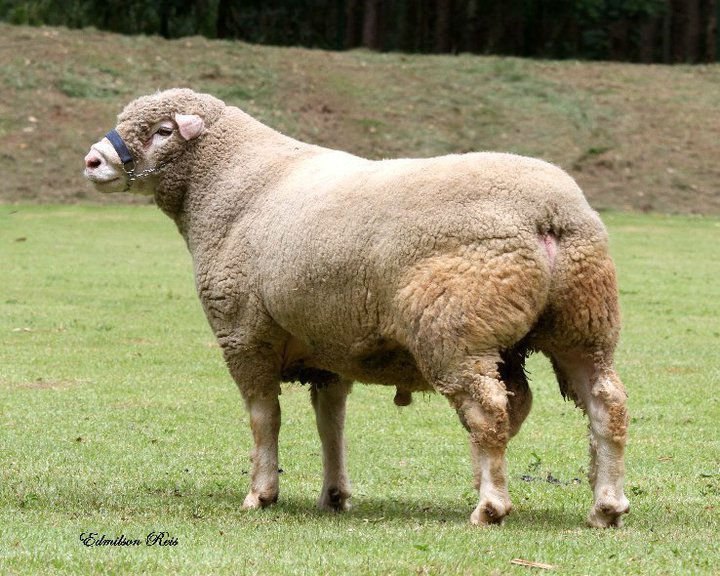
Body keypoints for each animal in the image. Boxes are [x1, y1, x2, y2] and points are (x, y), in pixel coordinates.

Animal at [84, 88, 629, 528]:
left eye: (163, 130)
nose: (92, 161)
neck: (232, 184)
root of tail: (549, 214)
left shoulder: (243, 333)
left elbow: (264, 418)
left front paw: (262, 493)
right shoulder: (329, 346)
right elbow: (332, 424)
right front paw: (334, 495)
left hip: (457, 331)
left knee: (489, 410)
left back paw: (490, 505)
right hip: (582, 324)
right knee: (605, 404)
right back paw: (606, 505)